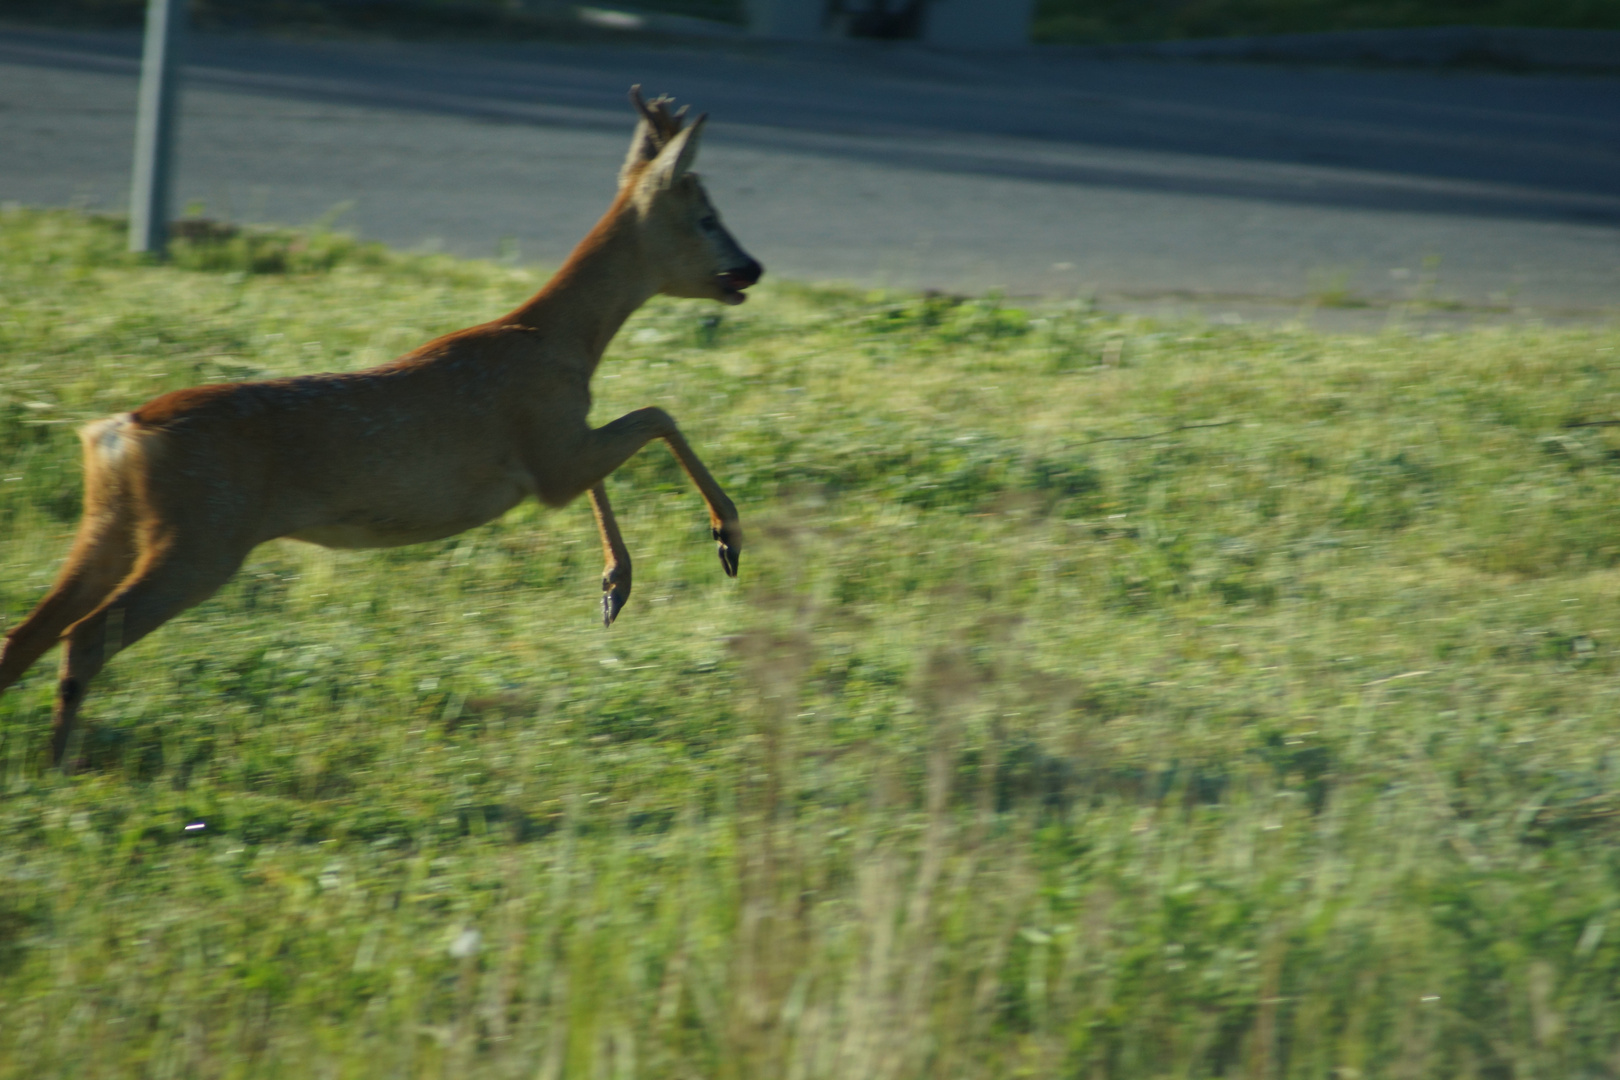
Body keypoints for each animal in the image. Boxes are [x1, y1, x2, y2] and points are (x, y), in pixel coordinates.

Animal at [0, 90, 761, 767]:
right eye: (706, 216)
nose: (750, 268)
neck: (561, 339)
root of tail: (119, 434)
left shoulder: (558, 449)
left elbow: (622, 446)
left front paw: (615, 586)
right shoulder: (548, 448)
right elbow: (657, 415)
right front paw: (725, 538)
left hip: (115, 527)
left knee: (23, 635)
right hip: (200, 537)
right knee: (82, 637)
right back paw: (60, 765)